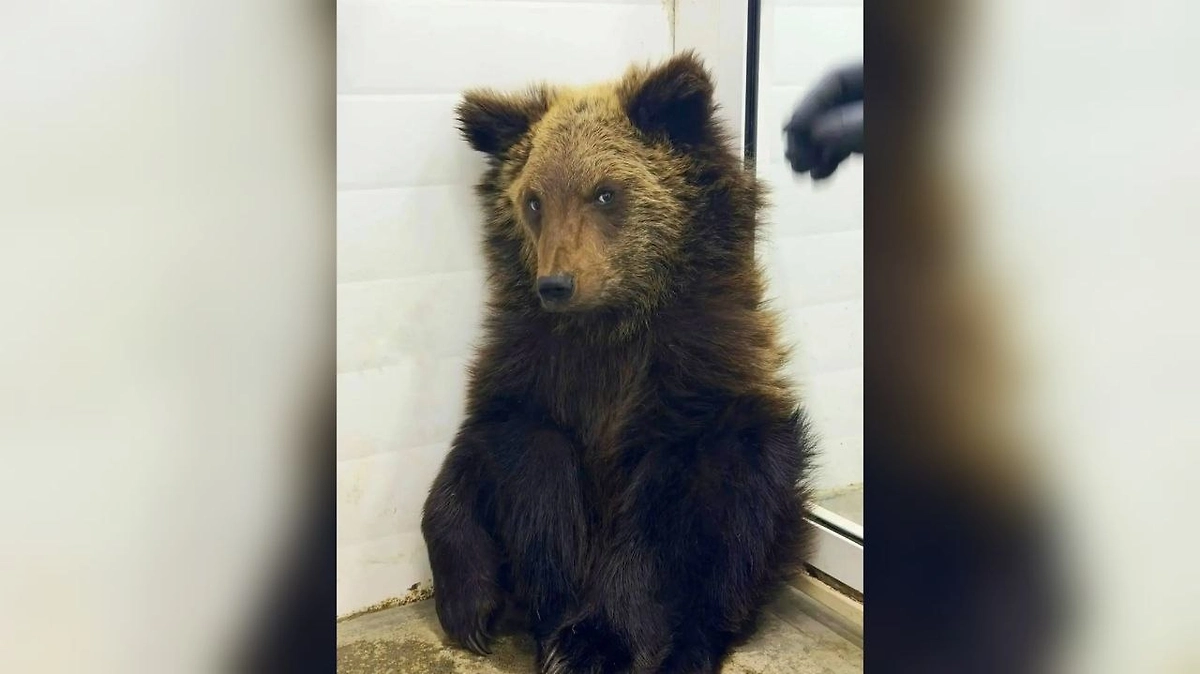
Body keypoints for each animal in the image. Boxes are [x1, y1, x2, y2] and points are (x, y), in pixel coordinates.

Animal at [420, 51, 815, 674]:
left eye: (605, 193)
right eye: (533, 199)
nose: (556, 283)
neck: (609, 327)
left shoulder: (690, 375)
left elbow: (662, 523)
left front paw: (590, 642)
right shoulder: (530, 365)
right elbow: (510, 454)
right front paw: (478, 606)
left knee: (743, 533)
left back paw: (686, 648)